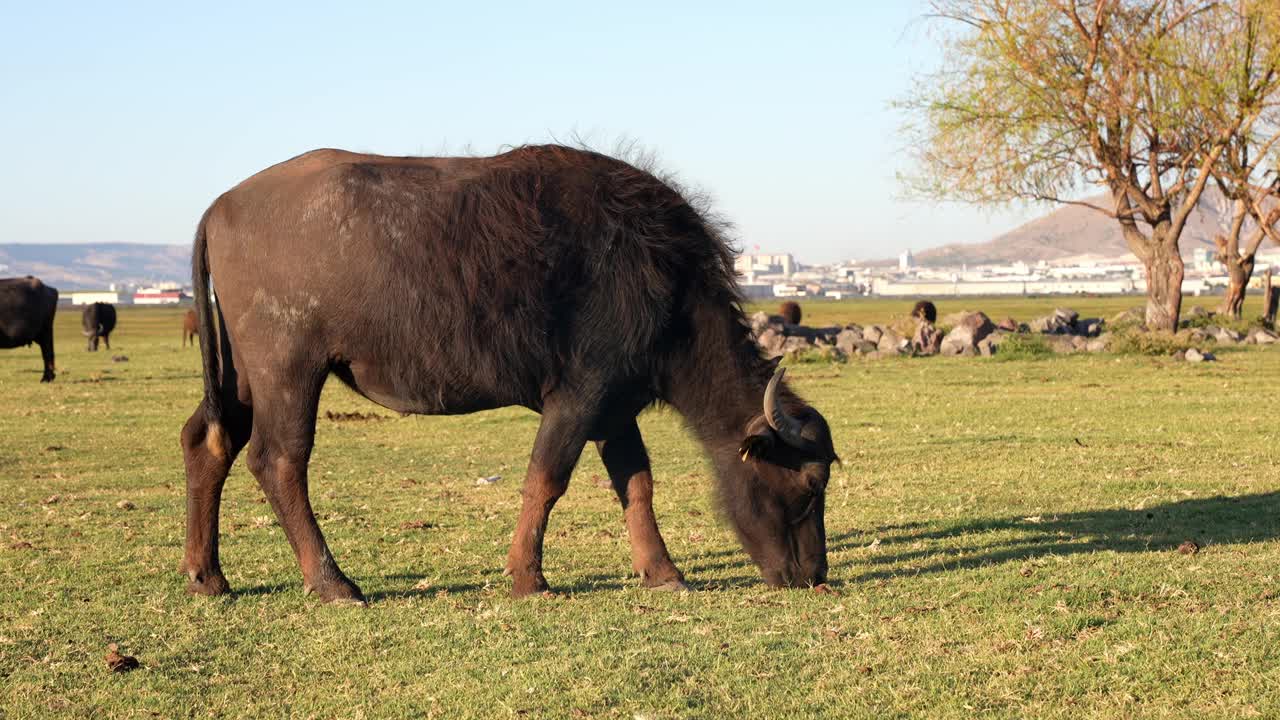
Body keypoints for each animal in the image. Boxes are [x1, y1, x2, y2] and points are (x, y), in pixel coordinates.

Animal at [183, 146, 839, 599]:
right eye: (811, 484)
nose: (812, 574)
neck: (661, 282)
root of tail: (220, 206)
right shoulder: (578, 395)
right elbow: (546, 480)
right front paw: (528, 576)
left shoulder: (614, 408)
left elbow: (636, 484)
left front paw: (663, 571)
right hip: (289, 370)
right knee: (278, 460)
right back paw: (333, 582)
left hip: (244, 375)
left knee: (209, 440)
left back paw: (207, 575)